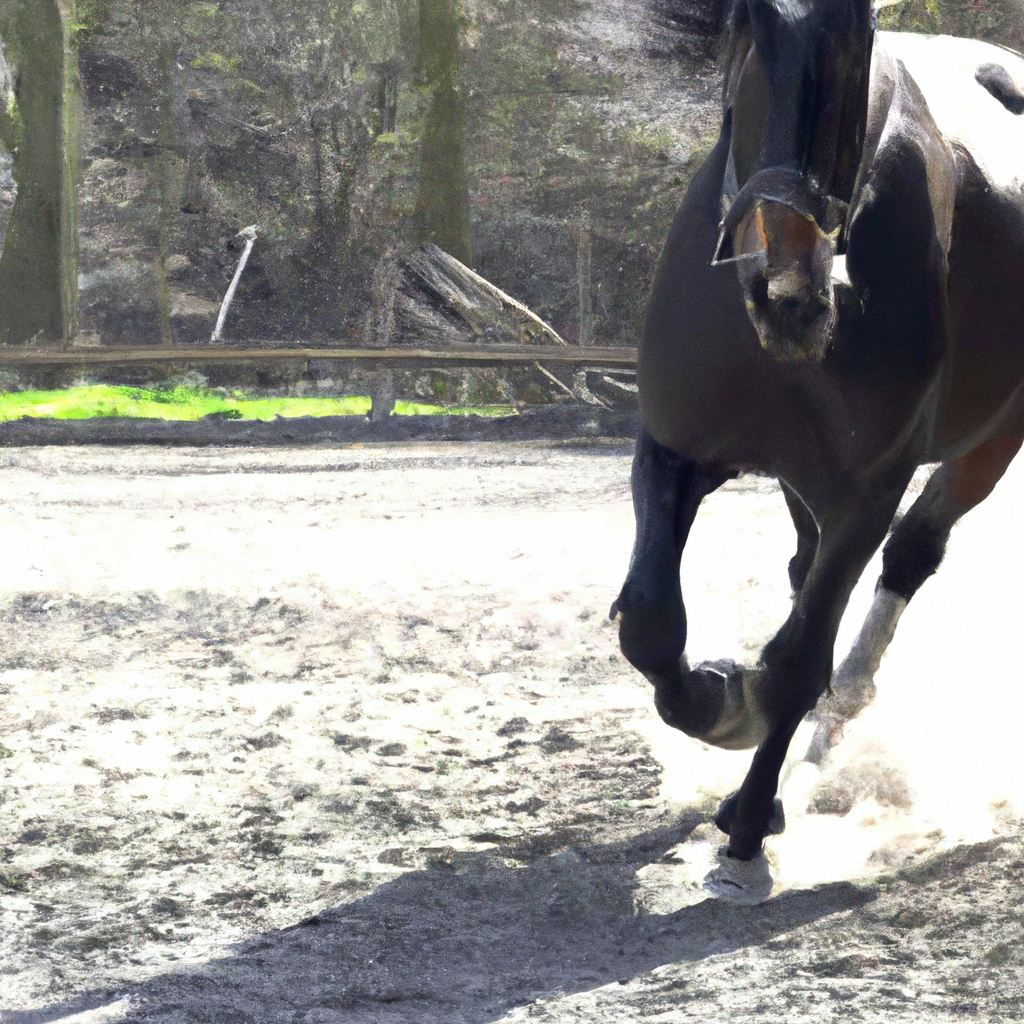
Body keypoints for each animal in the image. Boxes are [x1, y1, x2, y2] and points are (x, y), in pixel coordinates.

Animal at [610, 0, 1024, 901]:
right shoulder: (673, 451)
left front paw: (747, 823)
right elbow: (653, 628)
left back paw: (841, 708)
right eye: (753, 31)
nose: (793, 296)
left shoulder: (870, 487)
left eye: (861, 36)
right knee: (808, 572)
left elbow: (801, 655)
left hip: (990, 441)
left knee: (908, 556)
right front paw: (724, 701)